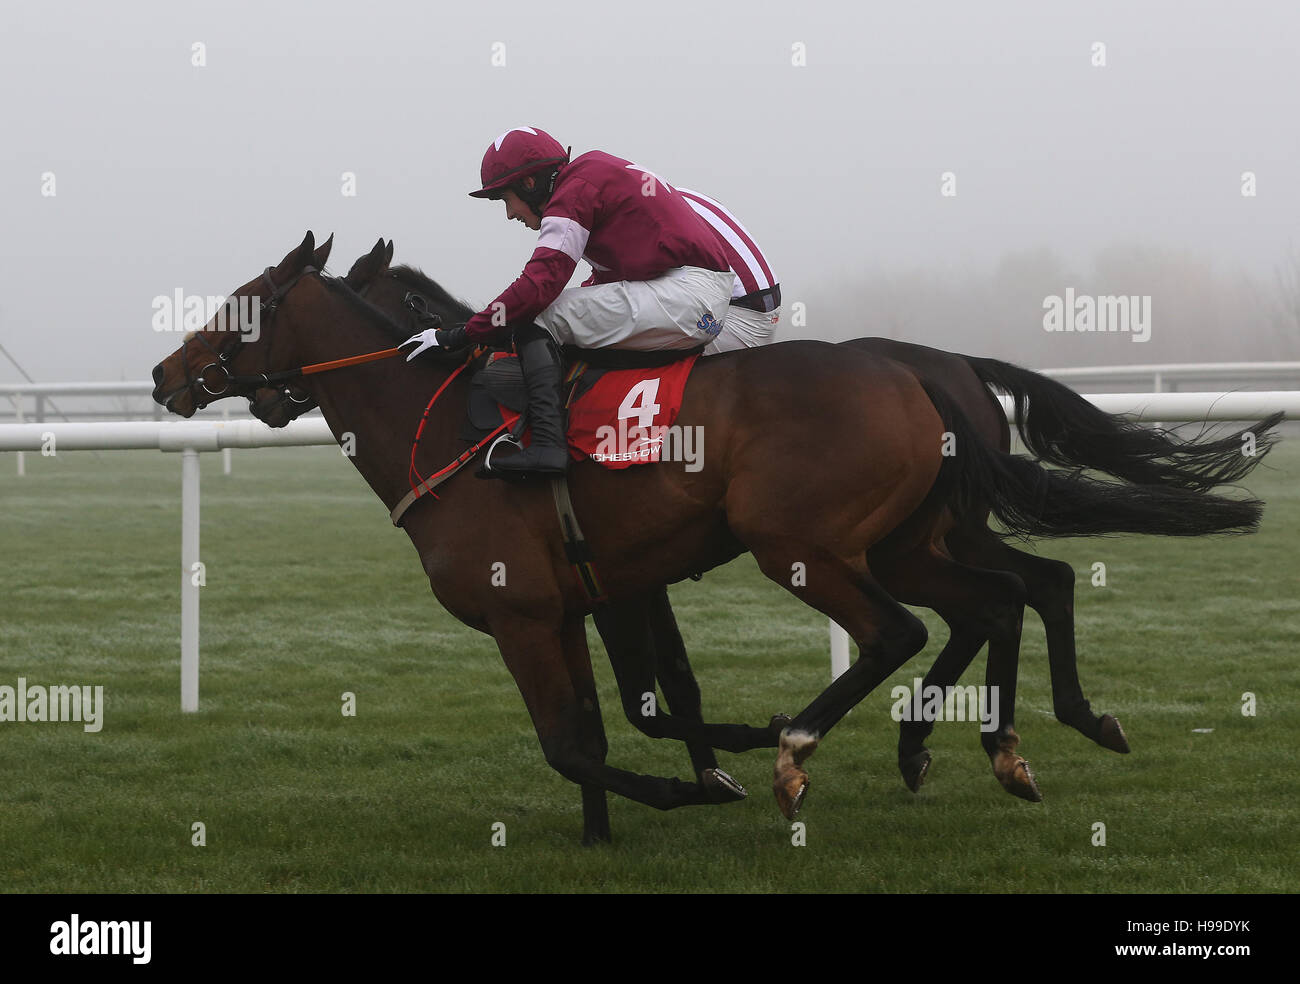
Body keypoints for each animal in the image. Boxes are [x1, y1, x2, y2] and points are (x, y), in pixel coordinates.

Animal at [154, 233, 1268, 842]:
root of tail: (923, 367)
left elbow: (584, 740)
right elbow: (633, 715)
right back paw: (1012, 741)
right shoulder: (588, 597)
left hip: (805, 543)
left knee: (907, 630)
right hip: (911, 539)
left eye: (242, 307)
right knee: (1024, 588)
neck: (447, 419)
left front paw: (703, 780)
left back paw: (807, 752)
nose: (167, 375)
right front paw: (631, 818)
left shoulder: (531, 610)